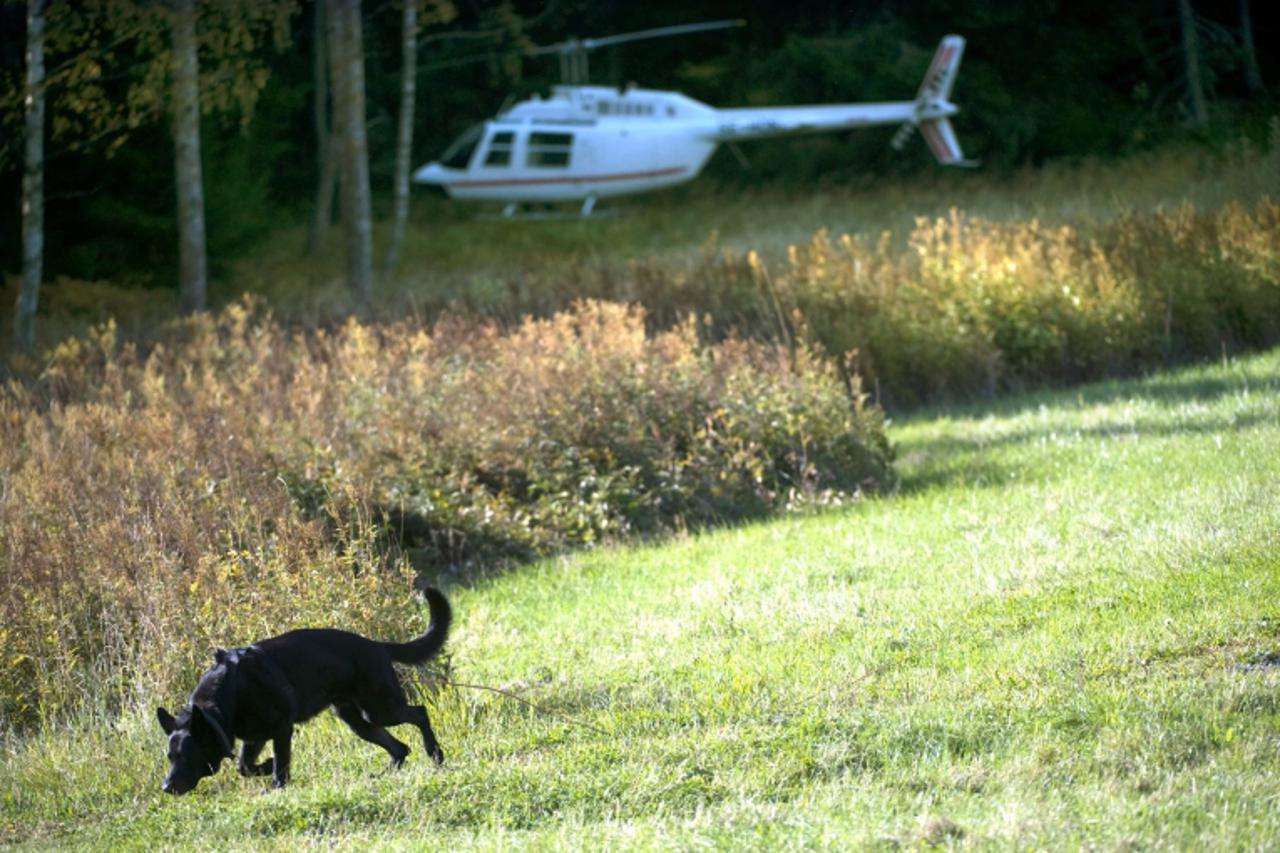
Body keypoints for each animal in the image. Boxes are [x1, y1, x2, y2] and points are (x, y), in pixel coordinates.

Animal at [158, 584, 453, 788]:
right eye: (170, 757)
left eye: (186, 757)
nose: (166, 788)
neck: (228, 692)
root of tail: (376, 645)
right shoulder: (255, 737)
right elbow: (245, 766)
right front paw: (266, 767)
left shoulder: (281, 730)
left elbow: (281, 765)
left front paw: (277, 784)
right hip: (358, 720)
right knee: (400, 748)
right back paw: (384, 774)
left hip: (379, 709)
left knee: (420, 714)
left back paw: (435, 753)